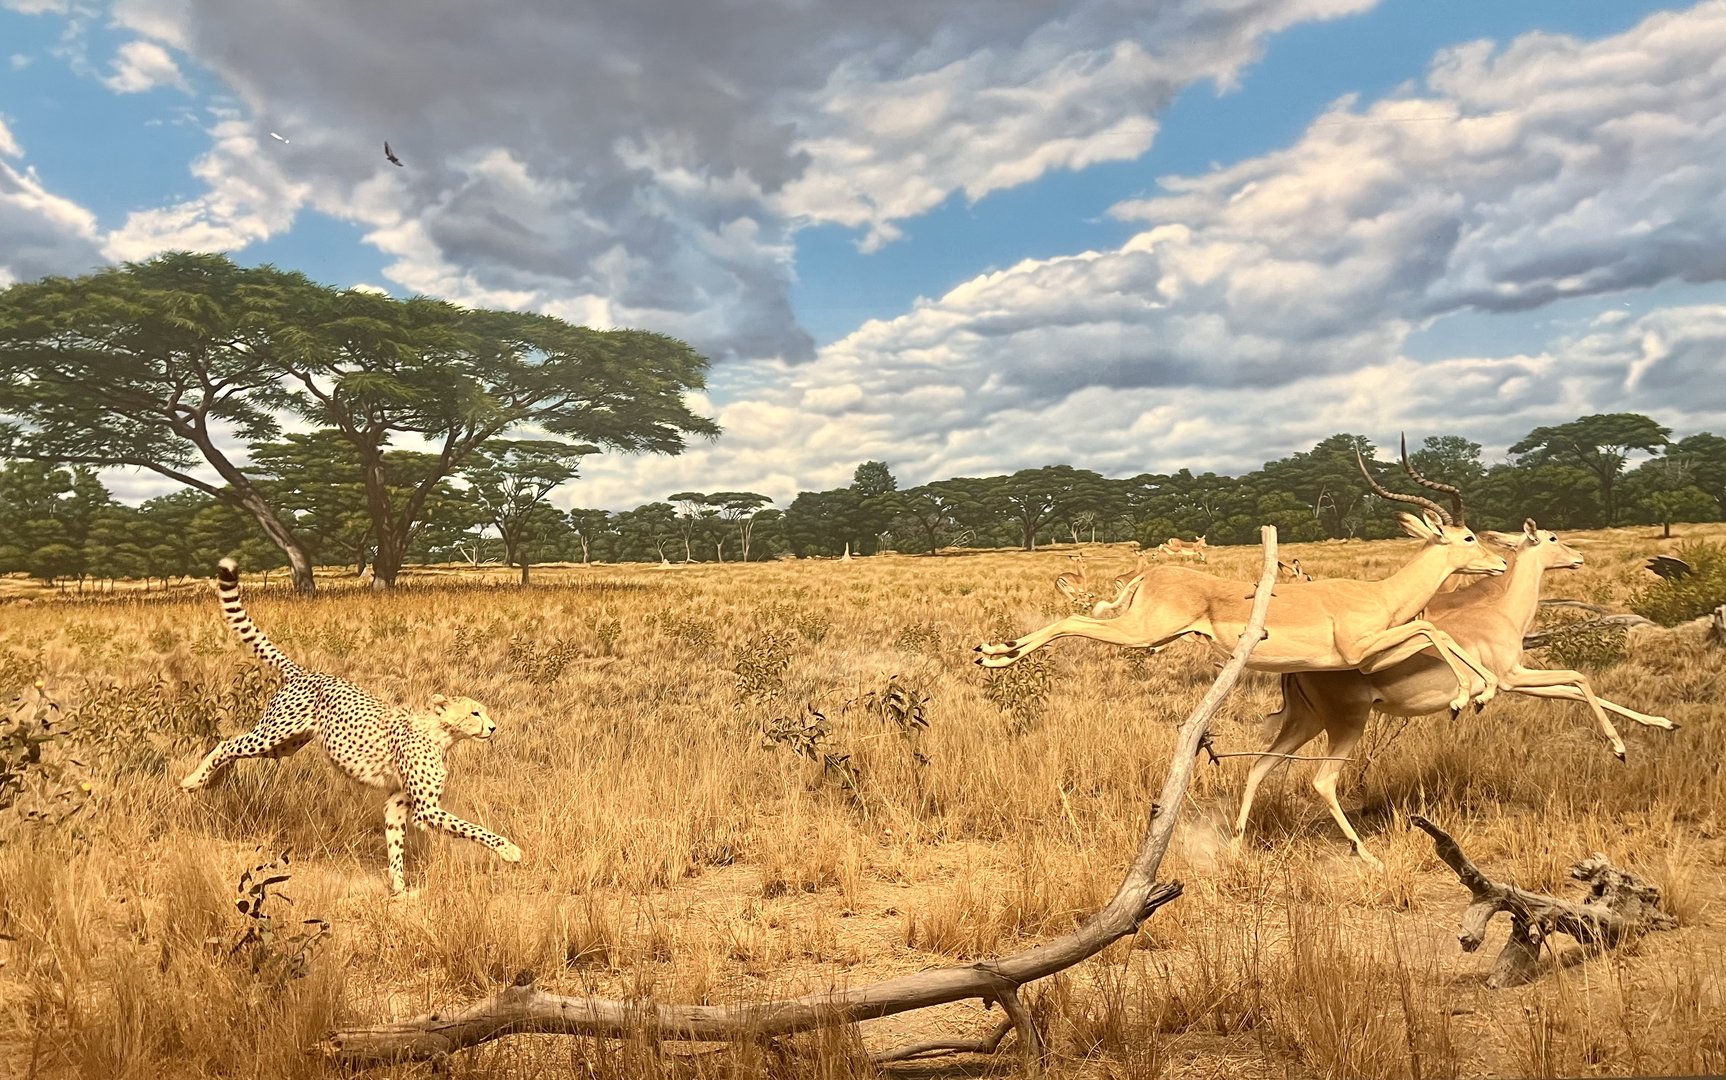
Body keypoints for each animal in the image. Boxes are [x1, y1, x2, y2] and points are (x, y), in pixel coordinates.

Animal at [179, 558, 523, 894]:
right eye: (475, 713)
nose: (493, 728)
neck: (441, 736)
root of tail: (307, 672)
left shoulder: (398, 800)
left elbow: (395, 842)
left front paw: (398, 887)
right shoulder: (426, 809)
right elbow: (473, 828)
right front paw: (509, 850)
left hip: (285, 745)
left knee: (235, 748)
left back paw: (212, 781)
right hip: (274, 733)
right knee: (227, 743)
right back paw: (194, 780)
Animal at [977, 466, 1508, 716]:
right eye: (1467, 537)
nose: (1501, 563)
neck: (1380, 595)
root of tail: (1151, 575)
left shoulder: (1369, 659)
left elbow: (1435, 633)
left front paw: (1480, 691)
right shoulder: (1359, 648)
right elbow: (1432, 631)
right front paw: (1471, 694)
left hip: (1152, 634)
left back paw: (994, 651)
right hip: (1141, 632)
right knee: (1072, 619)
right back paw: (994, 656)